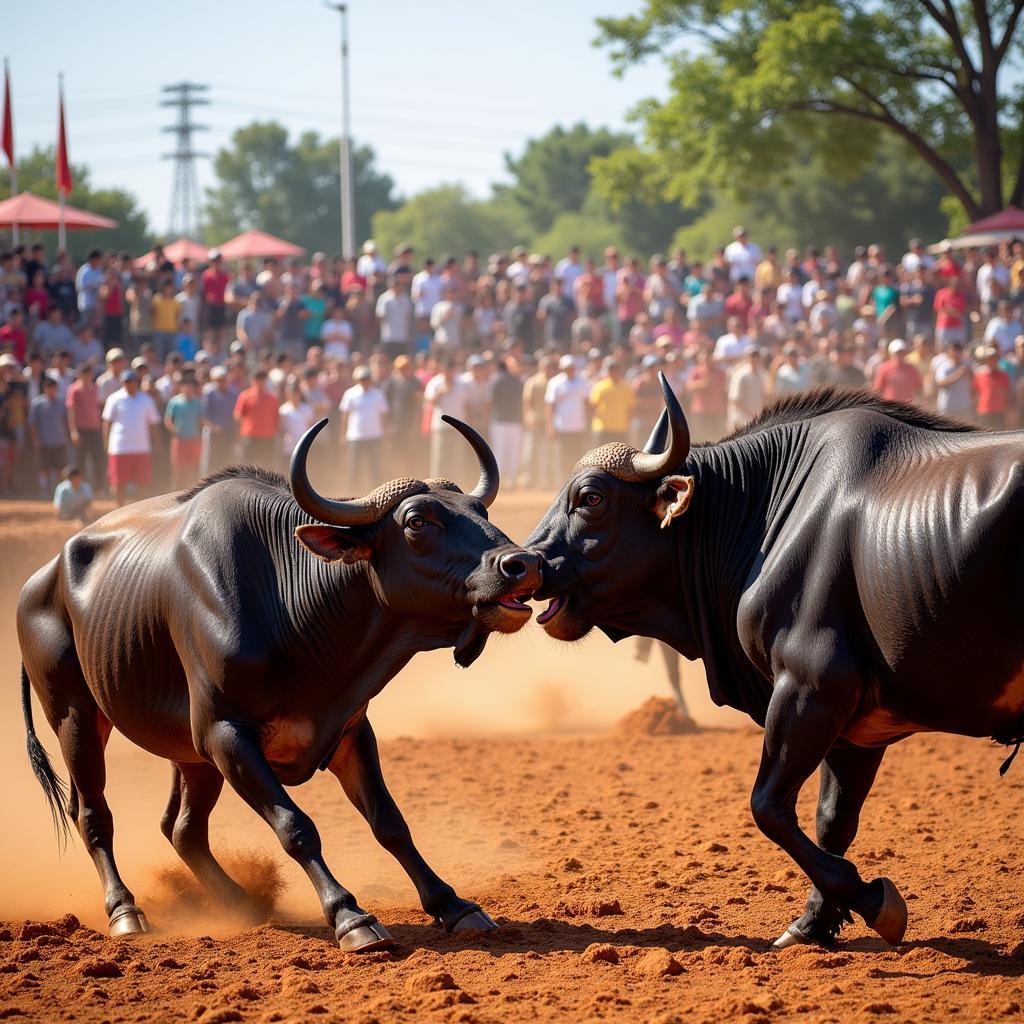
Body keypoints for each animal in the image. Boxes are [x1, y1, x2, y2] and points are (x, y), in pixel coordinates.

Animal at [19, 415, 540, 950]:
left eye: (478, 510)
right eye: (417, 521)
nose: (524, 563)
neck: (291, 611)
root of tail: (40, 580)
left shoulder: (349, 731)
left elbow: (390, 824)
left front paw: (453, 905)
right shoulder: (226, 735)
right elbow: (296, 825)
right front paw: (350, 916)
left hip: (189, 756)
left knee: (182, 828)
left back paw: (241, 902)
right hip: (77, 719)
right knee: (94, 814)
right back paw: (126, 910)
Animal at [528, 376, 1024, 950]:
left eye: (590, 498)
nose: (521, 561)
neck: (768, 512)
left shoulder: (812, 687)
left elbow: (768, 807)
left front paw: (874, 901)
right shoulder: (857, 729)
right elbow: (832, 821)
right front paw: (815, 921)